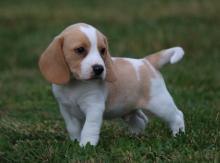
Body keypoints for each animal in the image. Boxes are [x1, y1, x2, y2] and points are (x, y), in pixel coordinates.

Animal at [38, 22, 185, 146]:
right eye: (80, 50)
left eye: (103, 50)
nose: (99, 68)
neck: (75, 84)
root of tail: (146, 62)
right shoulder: (66, 110)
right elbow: (73, 128)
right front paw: (75, 142)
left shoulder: (94, 108)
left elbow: (89, 129)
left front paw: (86, 146)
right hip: (129, 111)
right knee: (141, 121)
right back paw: (134, 136)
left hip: (160, 104)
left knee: (177, 115)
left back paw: (178, 135)